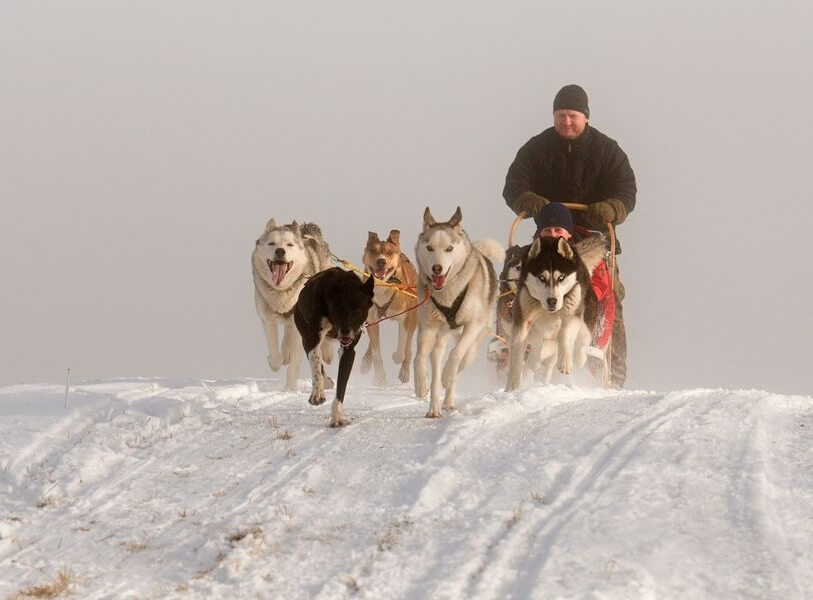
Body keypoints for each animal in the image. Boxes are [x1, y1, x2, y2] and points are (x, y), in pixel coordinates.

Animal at [292, 268, 374, 426]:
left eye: (359, 310)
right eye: (339, 309)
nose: (346, 331)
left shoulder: (348, 350)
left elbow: (342, 385)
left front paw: (337, 416)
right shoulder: (312, 339)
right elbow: (316, 363)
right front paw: (317, 393)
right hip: (304, 333)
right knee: (316, 359)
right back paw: (324, 383)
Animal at [358, 230, 416, 384]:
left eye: (390, 252)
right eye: (373, 251)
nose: (381, 261)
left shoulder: (405, 319)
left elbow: (402, 346)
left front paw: (397, 357)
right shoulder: (371, 319)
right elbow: (376, 351)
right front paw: (380, 377)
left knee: (408, 347)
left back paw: (405, 371)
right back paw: (366, 362)